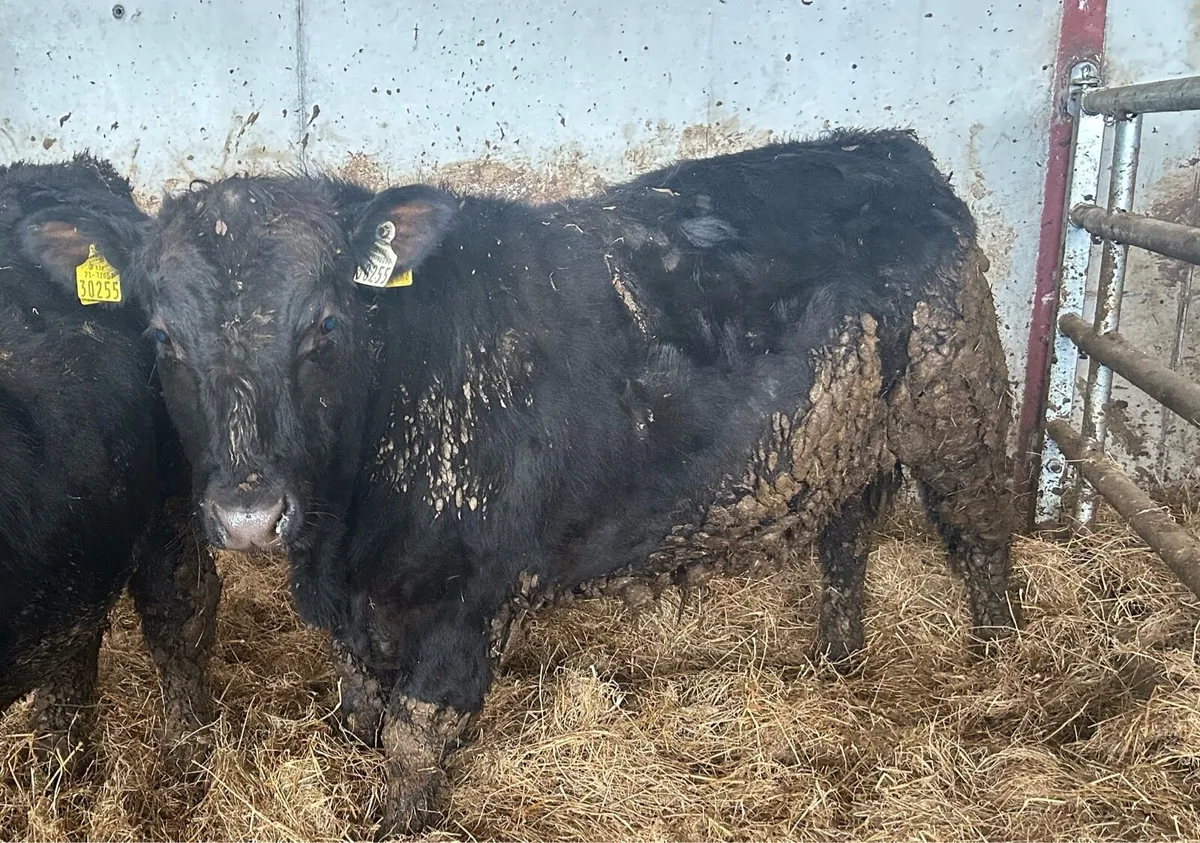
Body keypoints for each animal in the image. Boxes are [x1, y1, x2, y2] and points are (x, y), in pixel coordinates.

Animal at [71, 129, 1019, 834]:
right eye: (161, 337)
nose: (249, 513)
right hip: (845, 439)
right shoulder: (363, 605)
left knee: (980, 536)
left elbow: (414, 736)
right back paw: (837, 657)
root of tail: (886, 148)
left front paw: (399, 819)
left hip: (959, 411)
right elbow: (359, 706)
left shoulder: (468, 599)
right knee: (845, 540)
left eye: (326, 325)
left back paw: (998, 661)